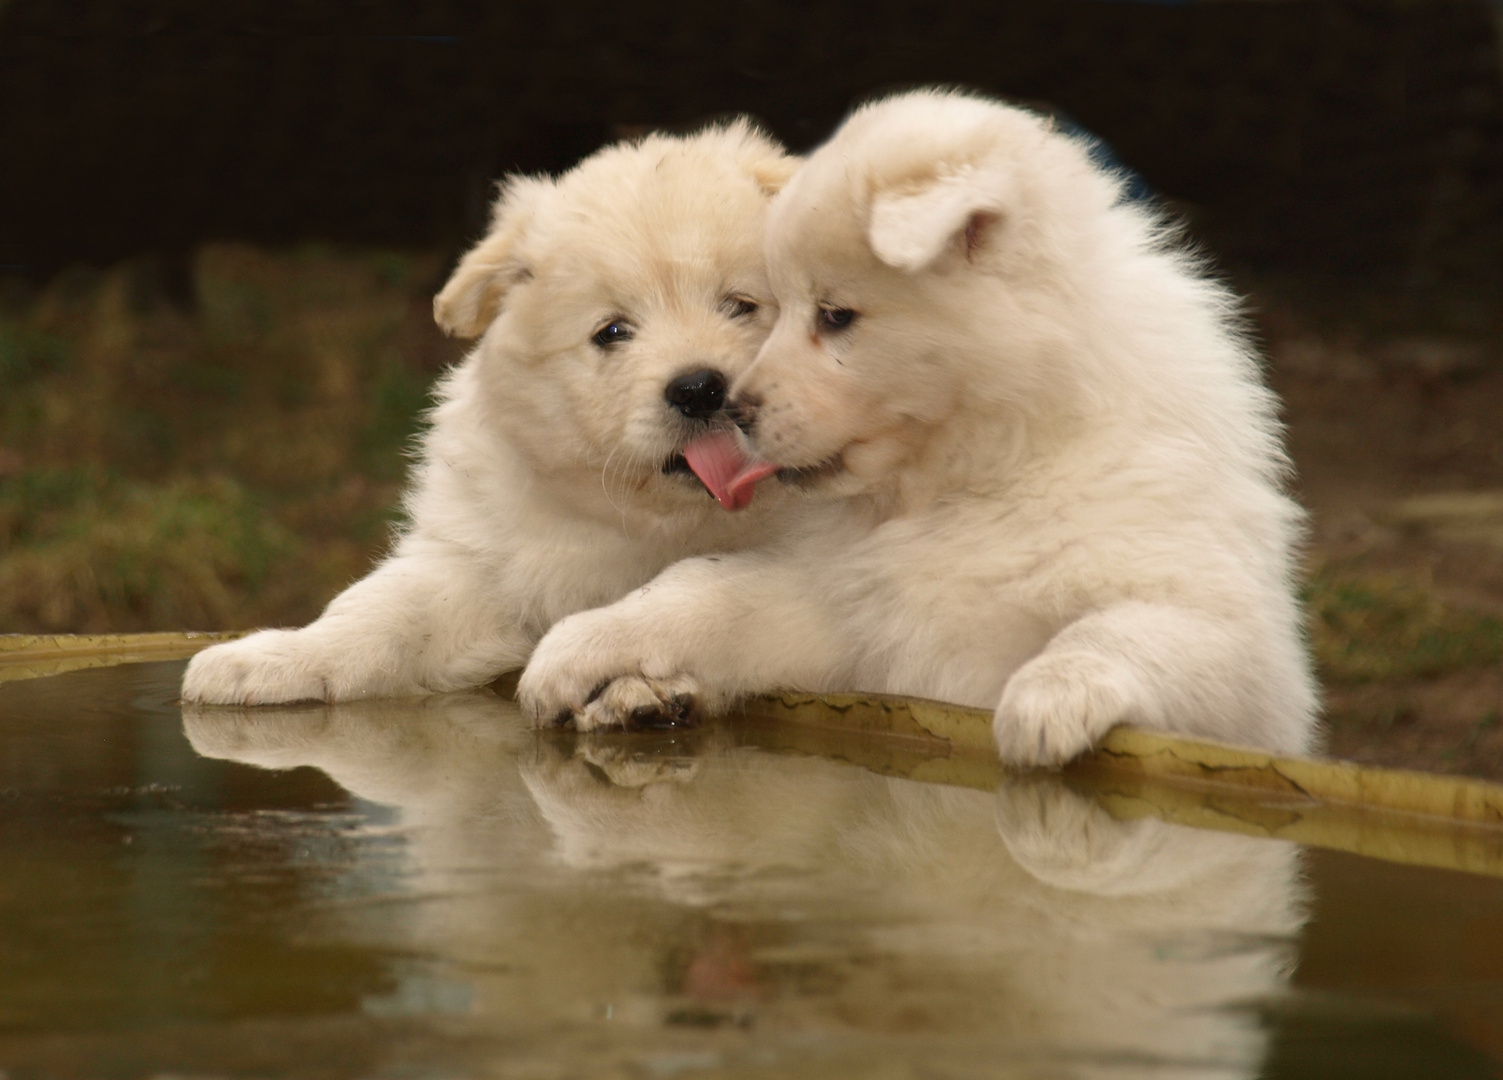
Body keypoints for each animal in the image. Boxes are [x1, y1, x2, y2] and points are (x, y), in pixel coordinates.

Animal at [180, 122, 799, 708]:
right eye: (612, 332)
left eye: (741, 305)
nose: (699, 389)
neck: (658, 523)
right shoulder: (484, 568)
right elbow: (382, 609)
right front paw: (274, 658)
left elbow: (702, 591)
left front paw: (603, 667)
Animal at [523, 93, 1322, 769]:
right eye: (773, 307)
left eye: (835, 315)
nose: (732, 407)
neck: (978, 476)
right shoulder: (848, 617)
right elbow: (703, 591)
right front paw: (573, 650)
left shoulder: (1226, 630)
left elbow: (1118, 629)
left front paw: (1045, 700)